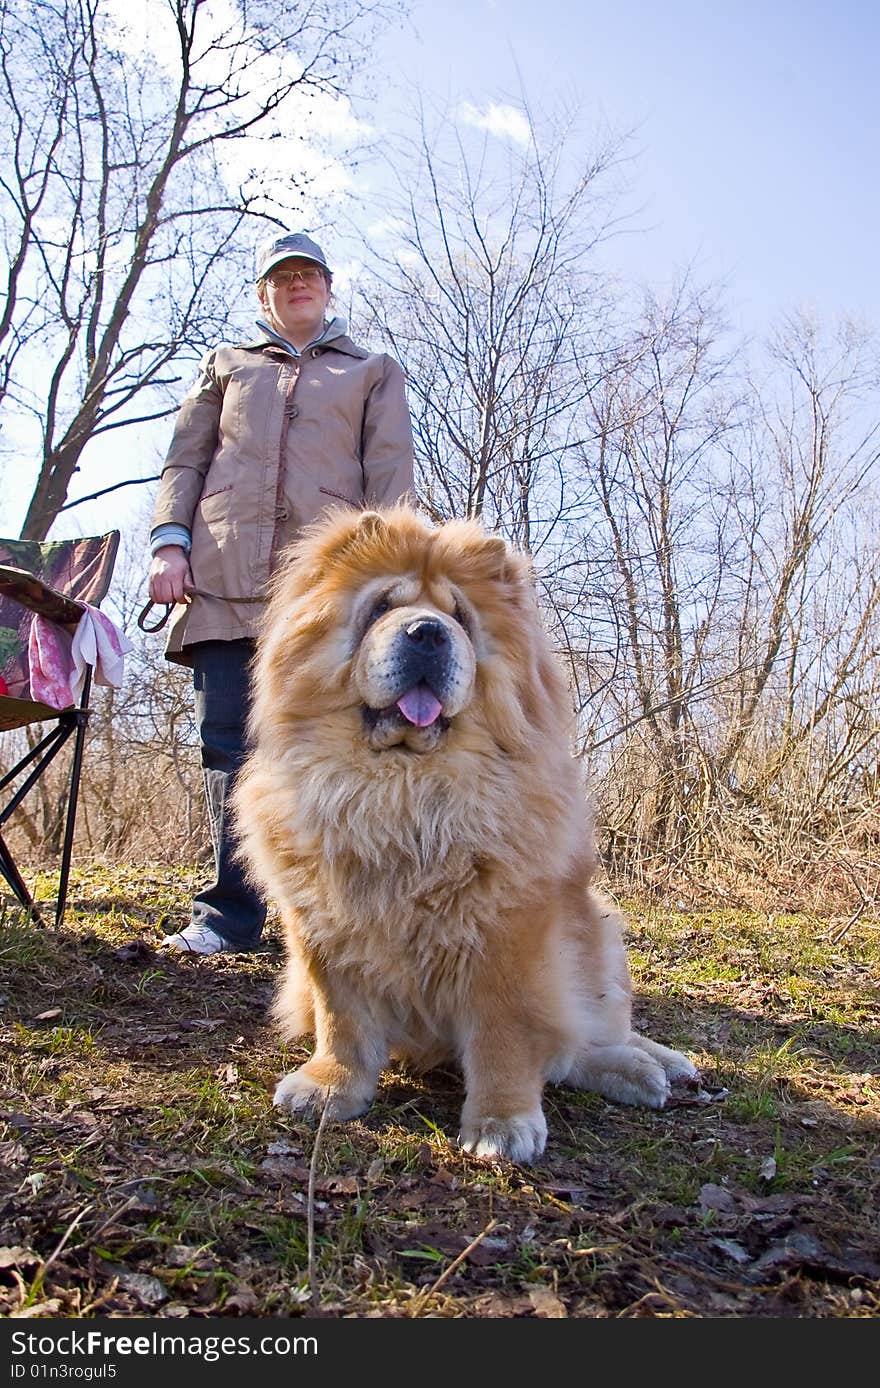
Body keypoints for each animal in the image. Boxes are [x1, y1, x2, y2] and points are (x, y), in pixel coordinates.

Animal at [229, 508, 696, 1160]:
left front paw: (502, 1124)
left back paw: (645, 1067)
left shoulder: (507, 935)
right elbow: (340, 1019)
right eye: (382, 607)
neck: (402, 791)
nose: (427, 633)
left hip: (595, 931)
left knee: (587, 1037)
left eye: (461, 618)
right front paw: (329, 1088)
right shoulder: (322, 927)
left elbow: (505, 1036)